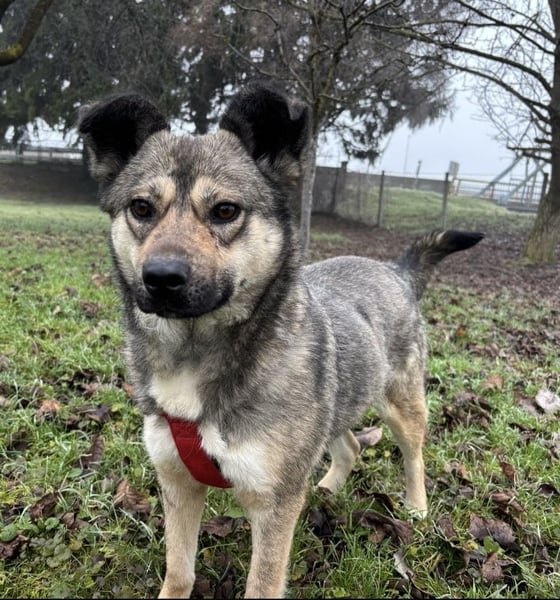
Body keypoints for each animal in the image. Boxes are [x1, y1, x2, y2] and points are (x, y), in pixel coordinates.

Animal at [78, 82, 483, 598]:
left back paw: (416, 506)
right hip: (334, 404)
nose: (161, 278)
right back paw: (327, 489)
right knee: (348, 445)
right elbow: (179, 570)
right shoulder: (177, 482)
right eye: (141, 208)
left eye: (225, 211)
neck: (195, 353)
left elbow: (262, 583)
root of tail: (396, 270)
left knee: (414, 455)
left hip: (403, 405)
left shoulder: (274, 506)